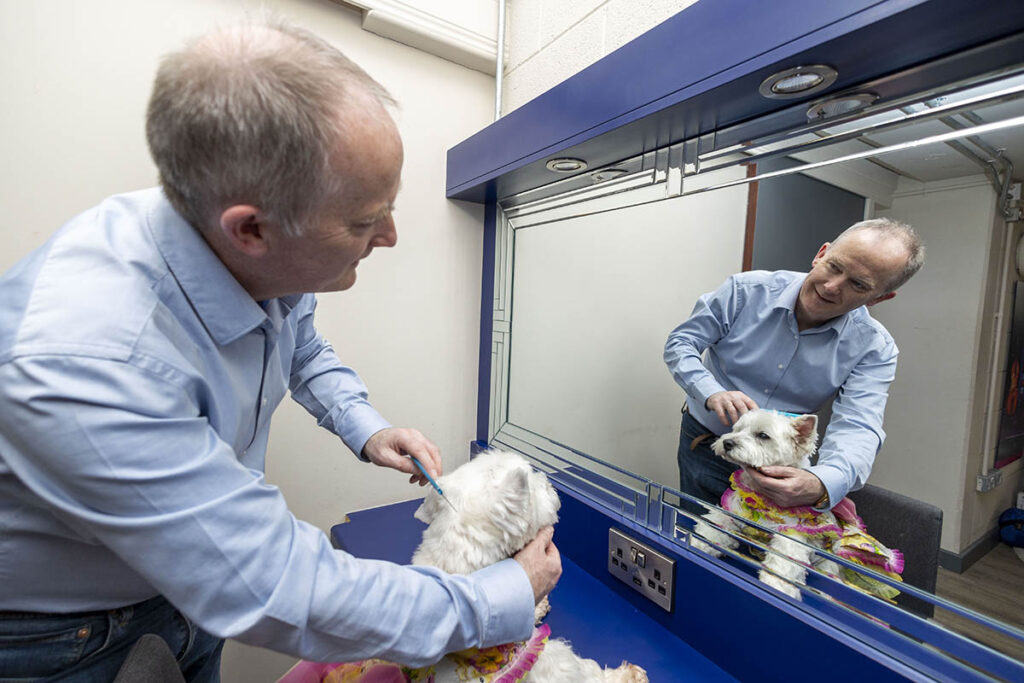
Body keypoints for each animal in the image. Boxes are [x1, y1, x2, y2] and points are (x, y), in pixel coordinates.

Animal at [688, 411, 839, 598]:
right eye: (737, 429)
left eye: (763, 435)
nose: (727, 442)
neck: (761, 496)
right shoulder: (732, 513)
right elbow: (716, 526)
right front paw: (700, 540)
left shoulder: (791, 536)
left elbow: (784, 561)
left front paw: (777, 584)